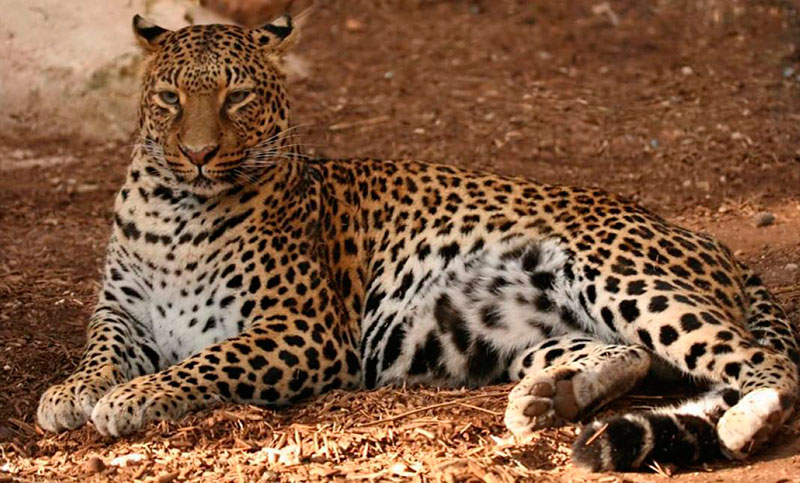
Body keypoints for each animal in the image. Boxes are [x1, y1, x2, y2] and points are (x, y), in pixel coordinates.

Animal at [36, 14, 800, 472]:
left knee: (766, 365)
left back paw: (746, 423)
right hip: (514, 332)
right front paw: (70, 391)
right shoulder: (120, 309)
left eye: (238, 97)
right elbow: (100, 348)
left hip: (612, 270)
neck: (176, 212)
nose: (196, 154)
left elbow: (206, 362)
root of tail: (713, 241)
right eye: (169, 98)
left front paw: (133, 397)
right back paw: (545, 402)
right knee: (638, 356)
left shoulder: (306, 331)